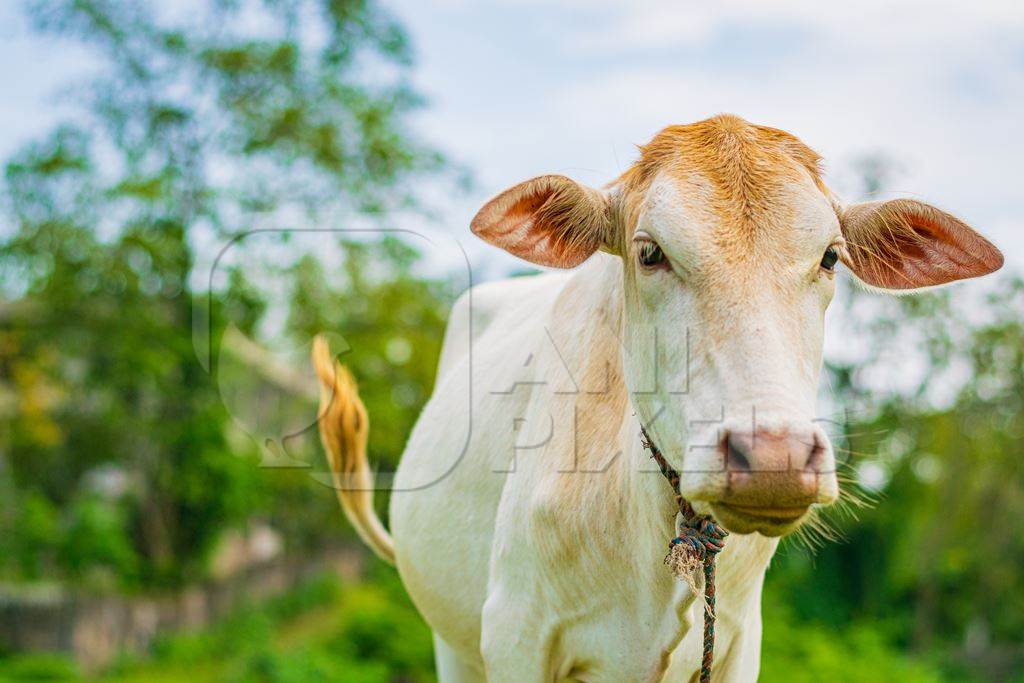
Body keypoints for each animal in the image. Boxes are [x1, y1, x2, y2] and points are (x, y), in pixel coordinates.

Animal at [311, 114, 999, 679]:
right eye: (649, 252)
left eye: (831, 257)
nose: (772, 458)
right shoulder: (514, 634)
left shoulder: (739, 646)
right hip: (453, 643)